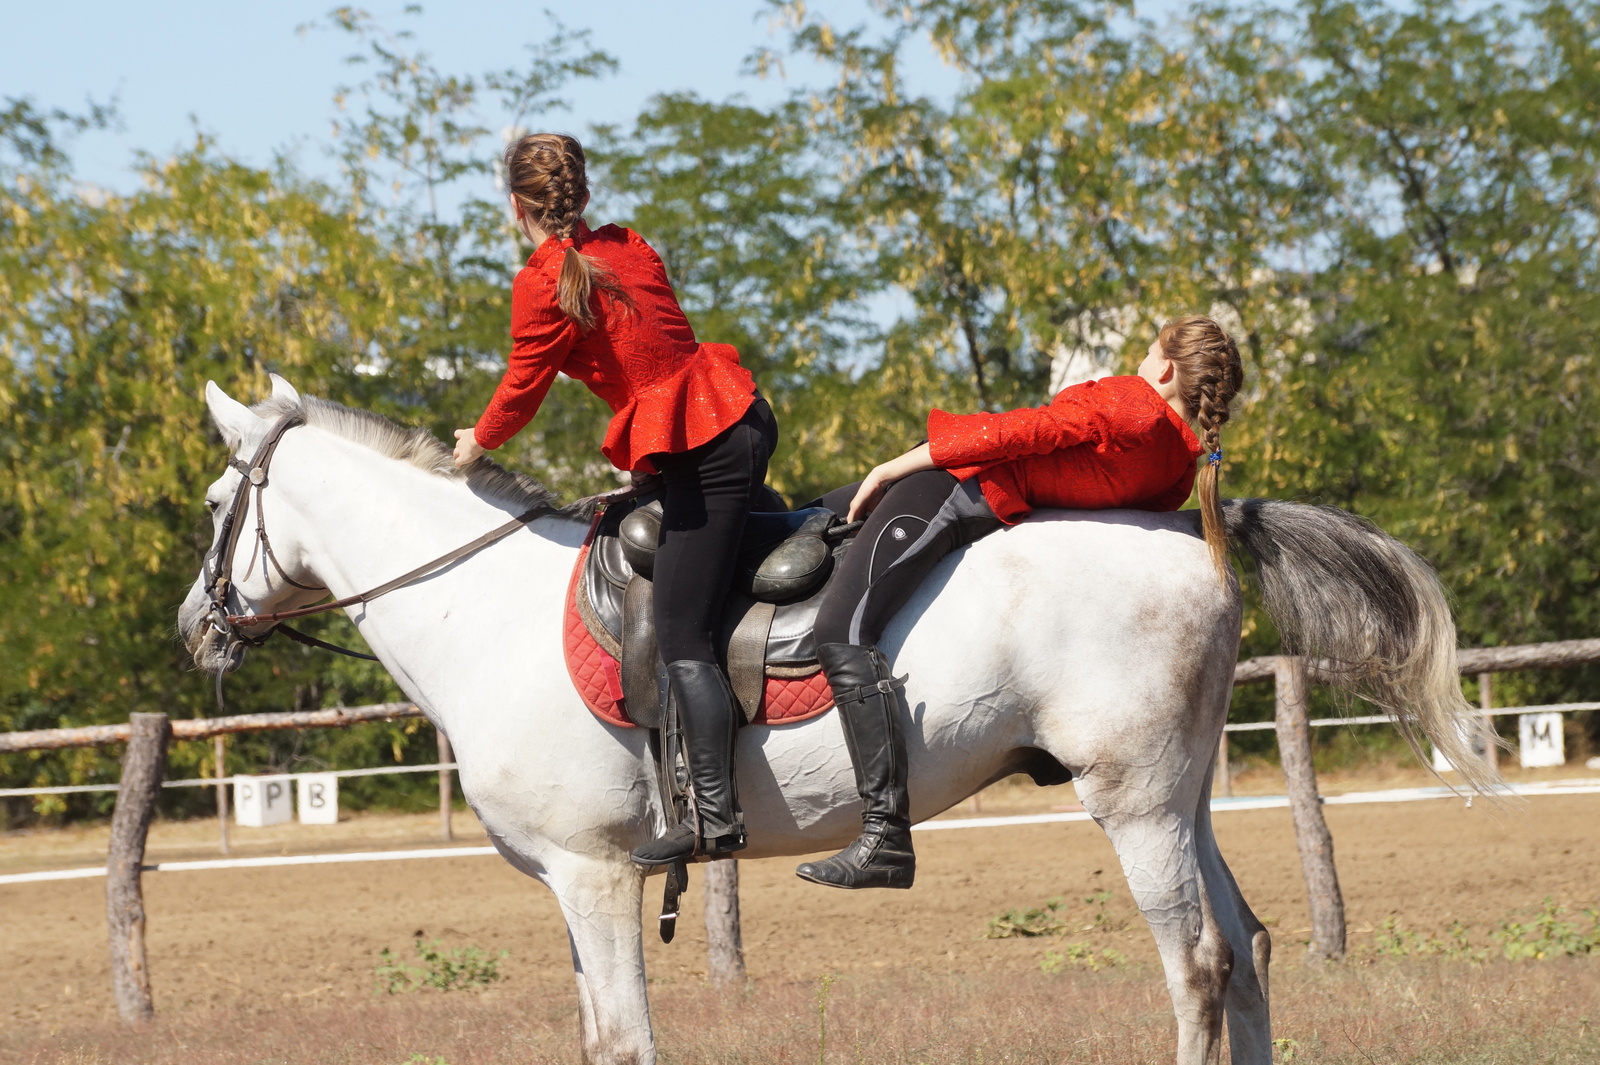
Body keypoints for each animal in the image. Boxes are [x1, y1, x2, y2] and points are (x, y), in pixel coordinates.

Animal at [181, 377, 1491, 1055]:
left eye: (208, 503)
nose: (197, 628)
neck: (484, 606)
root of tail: (1193, 534)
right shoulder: (568, 885)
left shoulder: (594, 875)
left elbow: (625, 1041)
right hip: (1180, 798)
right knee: (1252, 950)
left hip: (1133, 806)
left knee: (1202, 965)